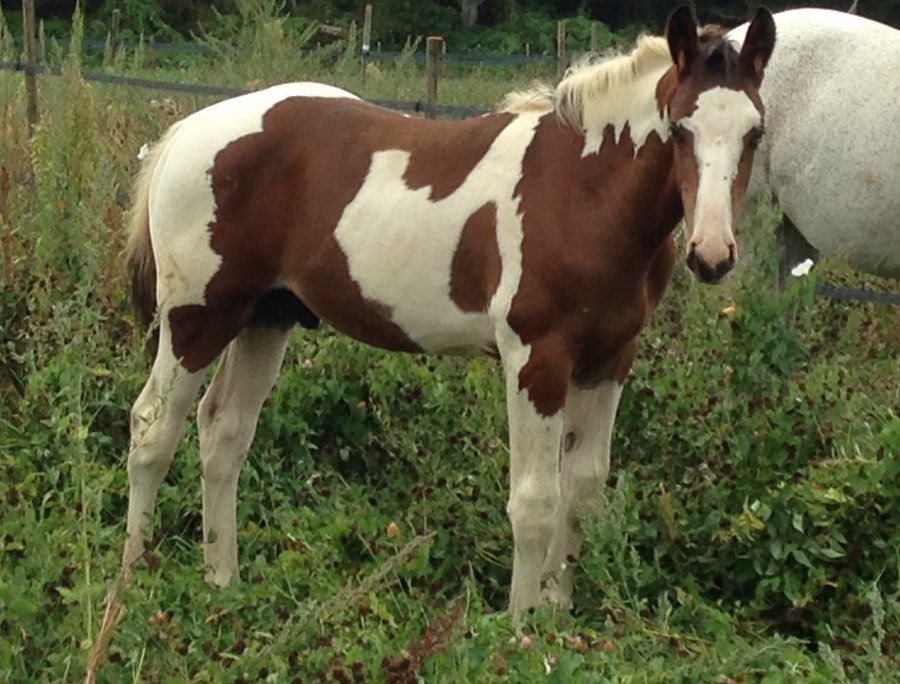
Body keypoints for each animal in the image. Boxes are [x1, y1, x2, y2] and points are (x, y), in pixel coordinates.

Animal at [122, 6, 776, 618]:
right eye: (681, 128)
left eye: (755, 134)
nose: (712, 255)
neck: (582, 192)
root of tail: (185, 132)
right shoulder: (535, 358)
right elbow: (534, 502)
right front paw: (521, 631)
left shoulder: (610, 360)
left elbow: (582, 491)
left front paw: (557, 614)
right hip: (196, 317)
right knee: (153, 427)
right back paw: (130, 587)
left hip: (265, 317)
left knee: (223, 432)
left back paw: (221, 581)